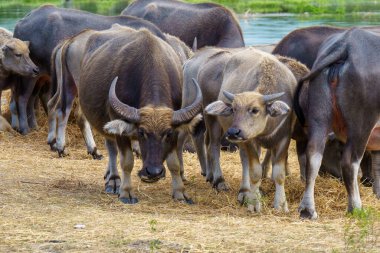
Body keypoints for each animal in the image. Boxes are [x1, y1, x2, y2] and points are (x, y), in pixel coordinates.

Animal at [11, 4, 166, 135]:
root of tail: (22, 21)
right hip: (28, 75)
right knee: (23, 98)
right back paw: (25, 129)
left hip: (41, 75)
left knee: (33, 98)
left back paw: (34, 126)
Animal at [77, 26, 202, 203]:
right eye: (142, 133)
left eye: (168, 134)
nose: (153, 172)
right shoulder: (119, 125)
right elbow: (126, 161)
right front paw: (126, 192)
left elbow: (174, 163)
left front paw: (180, 192)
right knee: (112, 149)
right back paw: (113, 180)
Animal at [183, 47, 306, 211]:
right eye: (233, 109)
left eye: (255, 110)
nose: (233, 132)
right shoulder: (250, 141)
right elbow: (254, 171)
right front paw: (253, 201)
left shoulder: (283, 139)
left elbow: (278, 173)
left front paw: (280, 204)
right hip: (211, 119)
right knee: (213, 145)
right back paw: (220, 181)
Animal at [296, 26, 380, 218]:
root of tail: (346, 44)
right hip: (361, 125)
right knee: (350, 162)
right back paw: (356, 207)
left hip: (319, 117)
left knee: (313, 156)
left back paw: (308, 210)